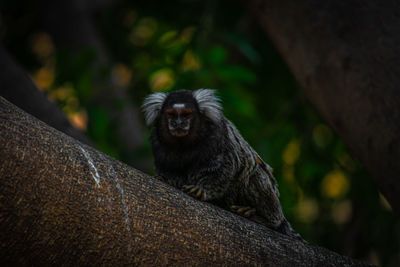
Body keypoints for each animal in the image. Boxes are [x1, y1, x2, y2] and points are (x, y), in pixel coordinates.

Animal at [142, 89, 302, 241]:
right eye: (171, 114)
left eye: (186, 115)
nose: (178, 124)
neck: (183, 145)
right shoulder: (157, 144)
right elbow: (167, 169)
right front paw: (167, 179)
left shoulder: (218, 136)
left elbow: (225, 168)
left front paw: (202, 189)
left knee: (254, 175)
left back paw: (264, 218)